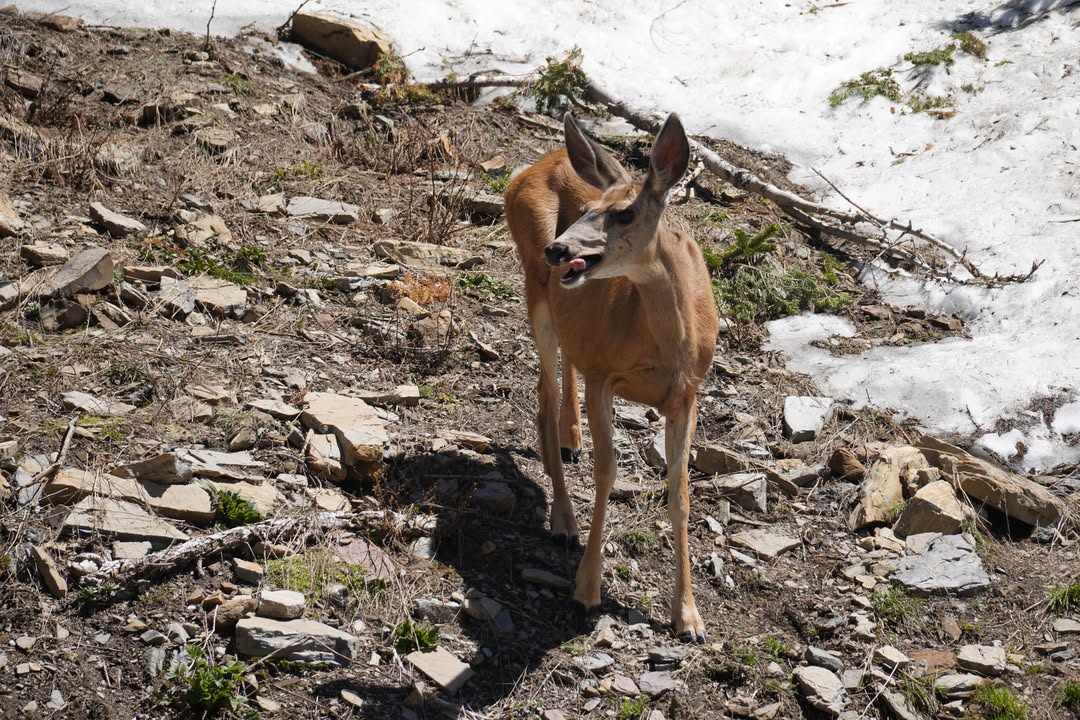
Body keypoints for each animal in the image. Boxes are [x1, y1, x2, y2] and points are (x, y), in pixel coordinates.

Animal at [503, 111, 718, 642]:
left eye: (623, 214)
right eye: (587, 209)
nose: (559, 248)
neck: (669, 346)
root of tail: (534, 167)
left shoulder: (688, 395)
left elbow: (681, 493)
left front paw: (689, 617)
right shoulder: (604, 377)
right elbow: (607, 473)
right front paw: (587, 588)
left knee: (562, 373)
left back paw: (571, 439)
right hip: (534, 288)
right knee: (543, 393)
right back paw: (563, 518)